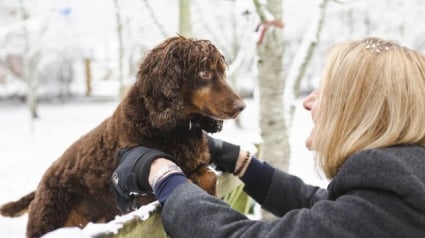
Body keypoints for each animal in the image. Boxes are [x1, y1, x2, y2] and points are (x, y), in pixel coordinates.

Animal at [0, 35, 245, 238]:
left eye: (222, 72)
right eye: (204, 72)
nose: (241, 106)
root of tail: (40, 187)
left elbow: (209, 176)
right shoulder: (142, 197)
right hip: (47, 220)